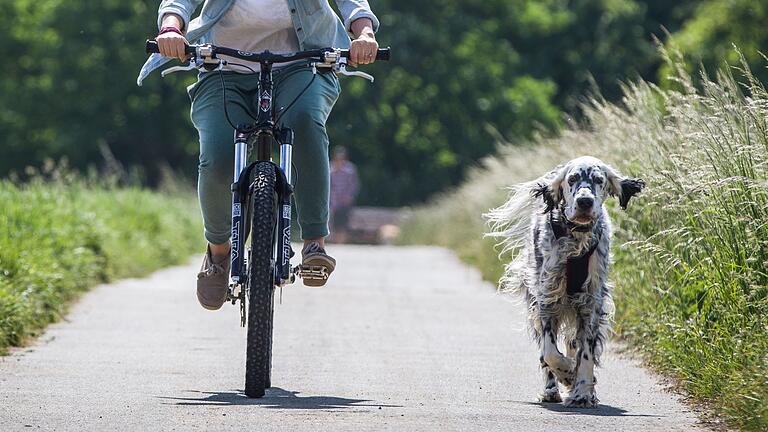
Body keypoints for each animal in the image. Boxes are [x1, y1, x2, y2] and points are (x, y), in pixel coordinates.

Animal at [488, 157, 644, 406]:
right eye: (572, 179)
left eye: (598, 180)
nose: (584, 201)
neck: (576, 240)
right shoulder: (547, 299)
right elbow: (550, 353)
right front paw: (567, 374)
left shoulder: (591, 303)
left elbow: (586, 352)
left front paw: (582, 391)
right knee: (547, 354)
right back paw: (552, 389)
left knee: (574, 343)